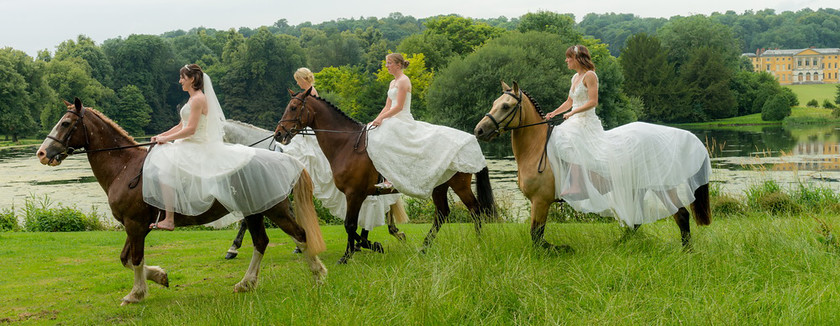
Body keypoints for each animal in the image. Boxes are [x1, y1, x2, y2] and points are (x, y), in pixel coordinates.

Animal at [37, 97, 330, 306]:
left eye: (65, 124)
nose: (42, 153)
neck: (125, 167)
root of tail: (282, 157)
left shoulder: (135, 225)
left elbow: (135, 259)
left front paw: (136, 293)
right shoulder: (135, 227)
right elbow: (126, 259)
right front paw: (159, 277)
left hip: (273, 210)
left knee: (300, 234)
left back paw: (318, 275)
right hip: (255, 212)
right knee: (261, 242)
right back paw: (246, 283)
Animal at [276, 88, 498, 264]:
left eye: (293, 107)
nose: (278, 134)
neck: (346, 144)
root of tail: (471, 139)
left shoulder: (354, 194)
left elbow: (350, 225)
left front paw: (355, 253)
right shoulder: (358, 195)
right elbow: (353, 225)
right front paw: (362, 248)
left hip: (459, 185)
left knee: (475, 210)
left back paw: (479, 243)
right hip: (440, 186)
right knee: (443, 214)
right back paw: (424, 248)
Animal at [476, 83, 704, 251]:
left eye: (506, 106)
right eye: (495, 103)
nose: (479, 130)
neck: (537, 148)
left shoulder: (540, 201)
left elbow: (536, 235)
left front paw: (560, 250)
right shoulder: (539, 202)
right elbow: (537, 236)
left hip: (661, 186)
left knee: (681, 215)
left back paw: (687, 253)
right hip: (637, 187)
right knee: (637, 221)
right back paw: (618, 245)